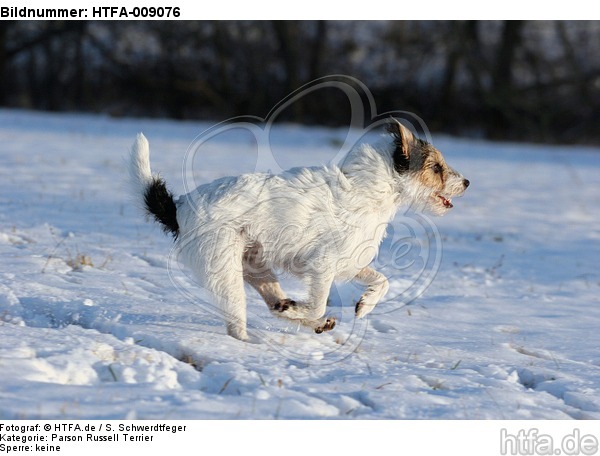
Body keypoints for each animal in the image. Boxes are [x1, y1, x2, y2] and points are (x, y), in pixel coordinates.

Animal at [130, 119, 468, 340]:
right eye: (436, 167)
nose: (466, 182)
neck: (370, 189)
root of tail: (179, 208)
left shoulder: (349, 261)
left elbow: (381, 280)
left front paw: (365, 304)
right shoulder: (322, 265)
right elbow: (317, 301)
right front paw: (300, 310)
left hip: (256, 268)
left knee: (272, 304)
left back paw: (298, 315)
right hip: (226, 273)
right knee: (238, 323)